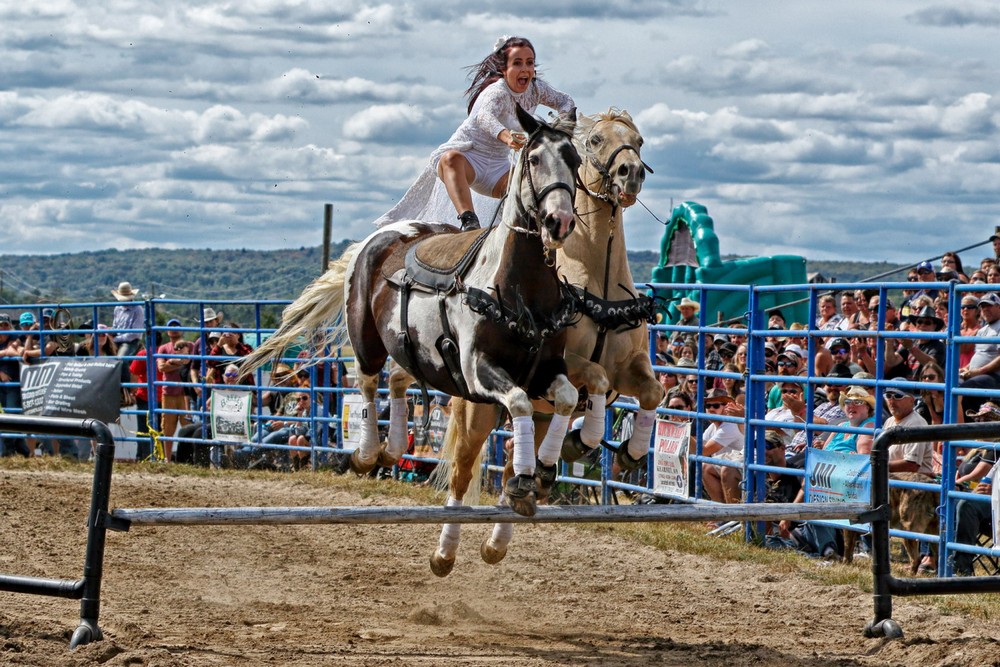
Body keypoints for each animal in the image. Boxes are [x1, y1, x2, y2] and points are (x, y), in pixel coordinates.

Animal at [242, 107, 584, 516]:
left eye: (575, 161)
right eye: (534, 159)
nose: (559, 221)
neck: (518, 288)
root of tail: (378, 238)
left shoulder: (547, 368)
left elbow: (567, 398)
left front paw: (544, 470)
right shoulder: (478, 371)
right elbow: (519, 403)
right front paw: (522, 481)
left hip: (420, 357)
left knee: (396, 380)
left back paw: (393, 449)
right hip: (366, 342)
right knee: (369, 384)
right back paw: (368, 452)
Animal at [426, 108, 660, 576]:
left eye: (639, 141)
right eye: (595, 141)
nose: (631, 174)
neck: (597, 284)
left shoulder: (630, 367)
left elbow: (652, 392)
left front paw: (629, 452)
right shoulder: (569, 363)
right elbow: (597, 379)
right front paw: (582, 440)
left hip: (533, 416)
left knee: (515, 469)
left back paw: (501, 536)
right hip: (478, 412)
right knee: (463, 473)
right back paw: (446, 552)